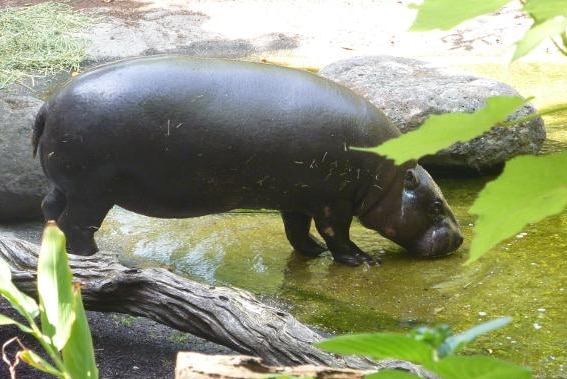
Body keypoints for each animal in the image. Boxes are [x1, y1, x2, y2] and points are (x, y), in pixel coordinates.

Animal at [31, 56, 464, 266]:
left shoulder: (297, 196)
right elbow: (336, 234)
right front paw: (361, 260)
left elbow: (297, 231)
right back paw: (89, 255)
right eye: (436, 205)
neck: (388, 176)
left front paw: (312, 253)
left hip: (67, 185)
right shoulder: (332, 201)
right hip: (93, 192)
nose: (460, 240)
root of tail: (48, 103)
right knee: (77, 224)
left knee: (50, 208)